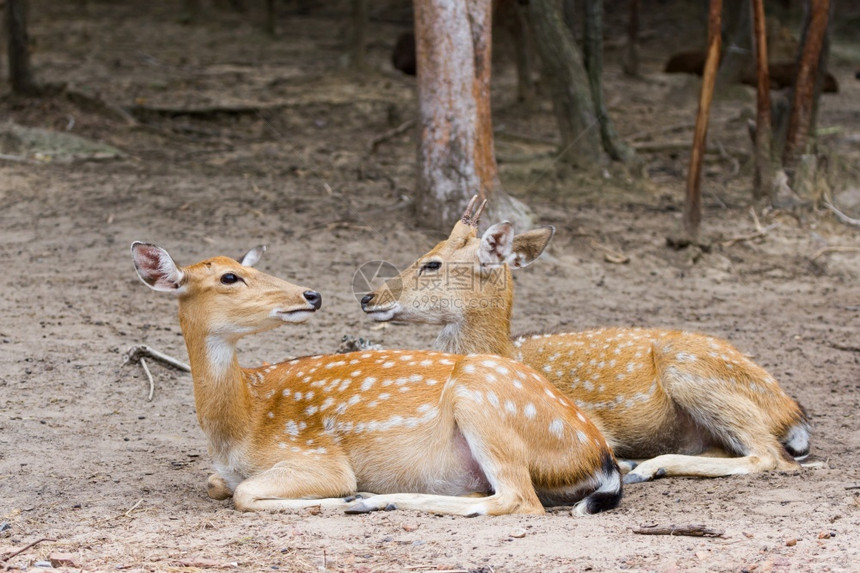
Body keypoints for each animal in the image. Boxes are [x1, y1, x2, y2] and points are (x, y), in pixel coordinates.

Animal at [131, 239, 620, 516]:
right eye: (231, 276)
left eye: (249, 269)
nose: (311, 294)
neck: (238, 427)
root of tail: (599, 454)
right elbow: (218, 484)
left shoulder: (316, 457)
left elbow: (245, 493)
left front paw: (345, 499)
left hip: (483, 402)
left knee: (519, 500)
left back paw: (379, 499)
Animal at [362, 197, 812, 482]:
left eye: (432, 264)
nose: (369, 297)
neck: (506, 351)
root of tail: (791, 411)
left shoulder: (587, 423)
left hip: (689, 371)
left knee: (771, 456)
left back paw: (646, 467)